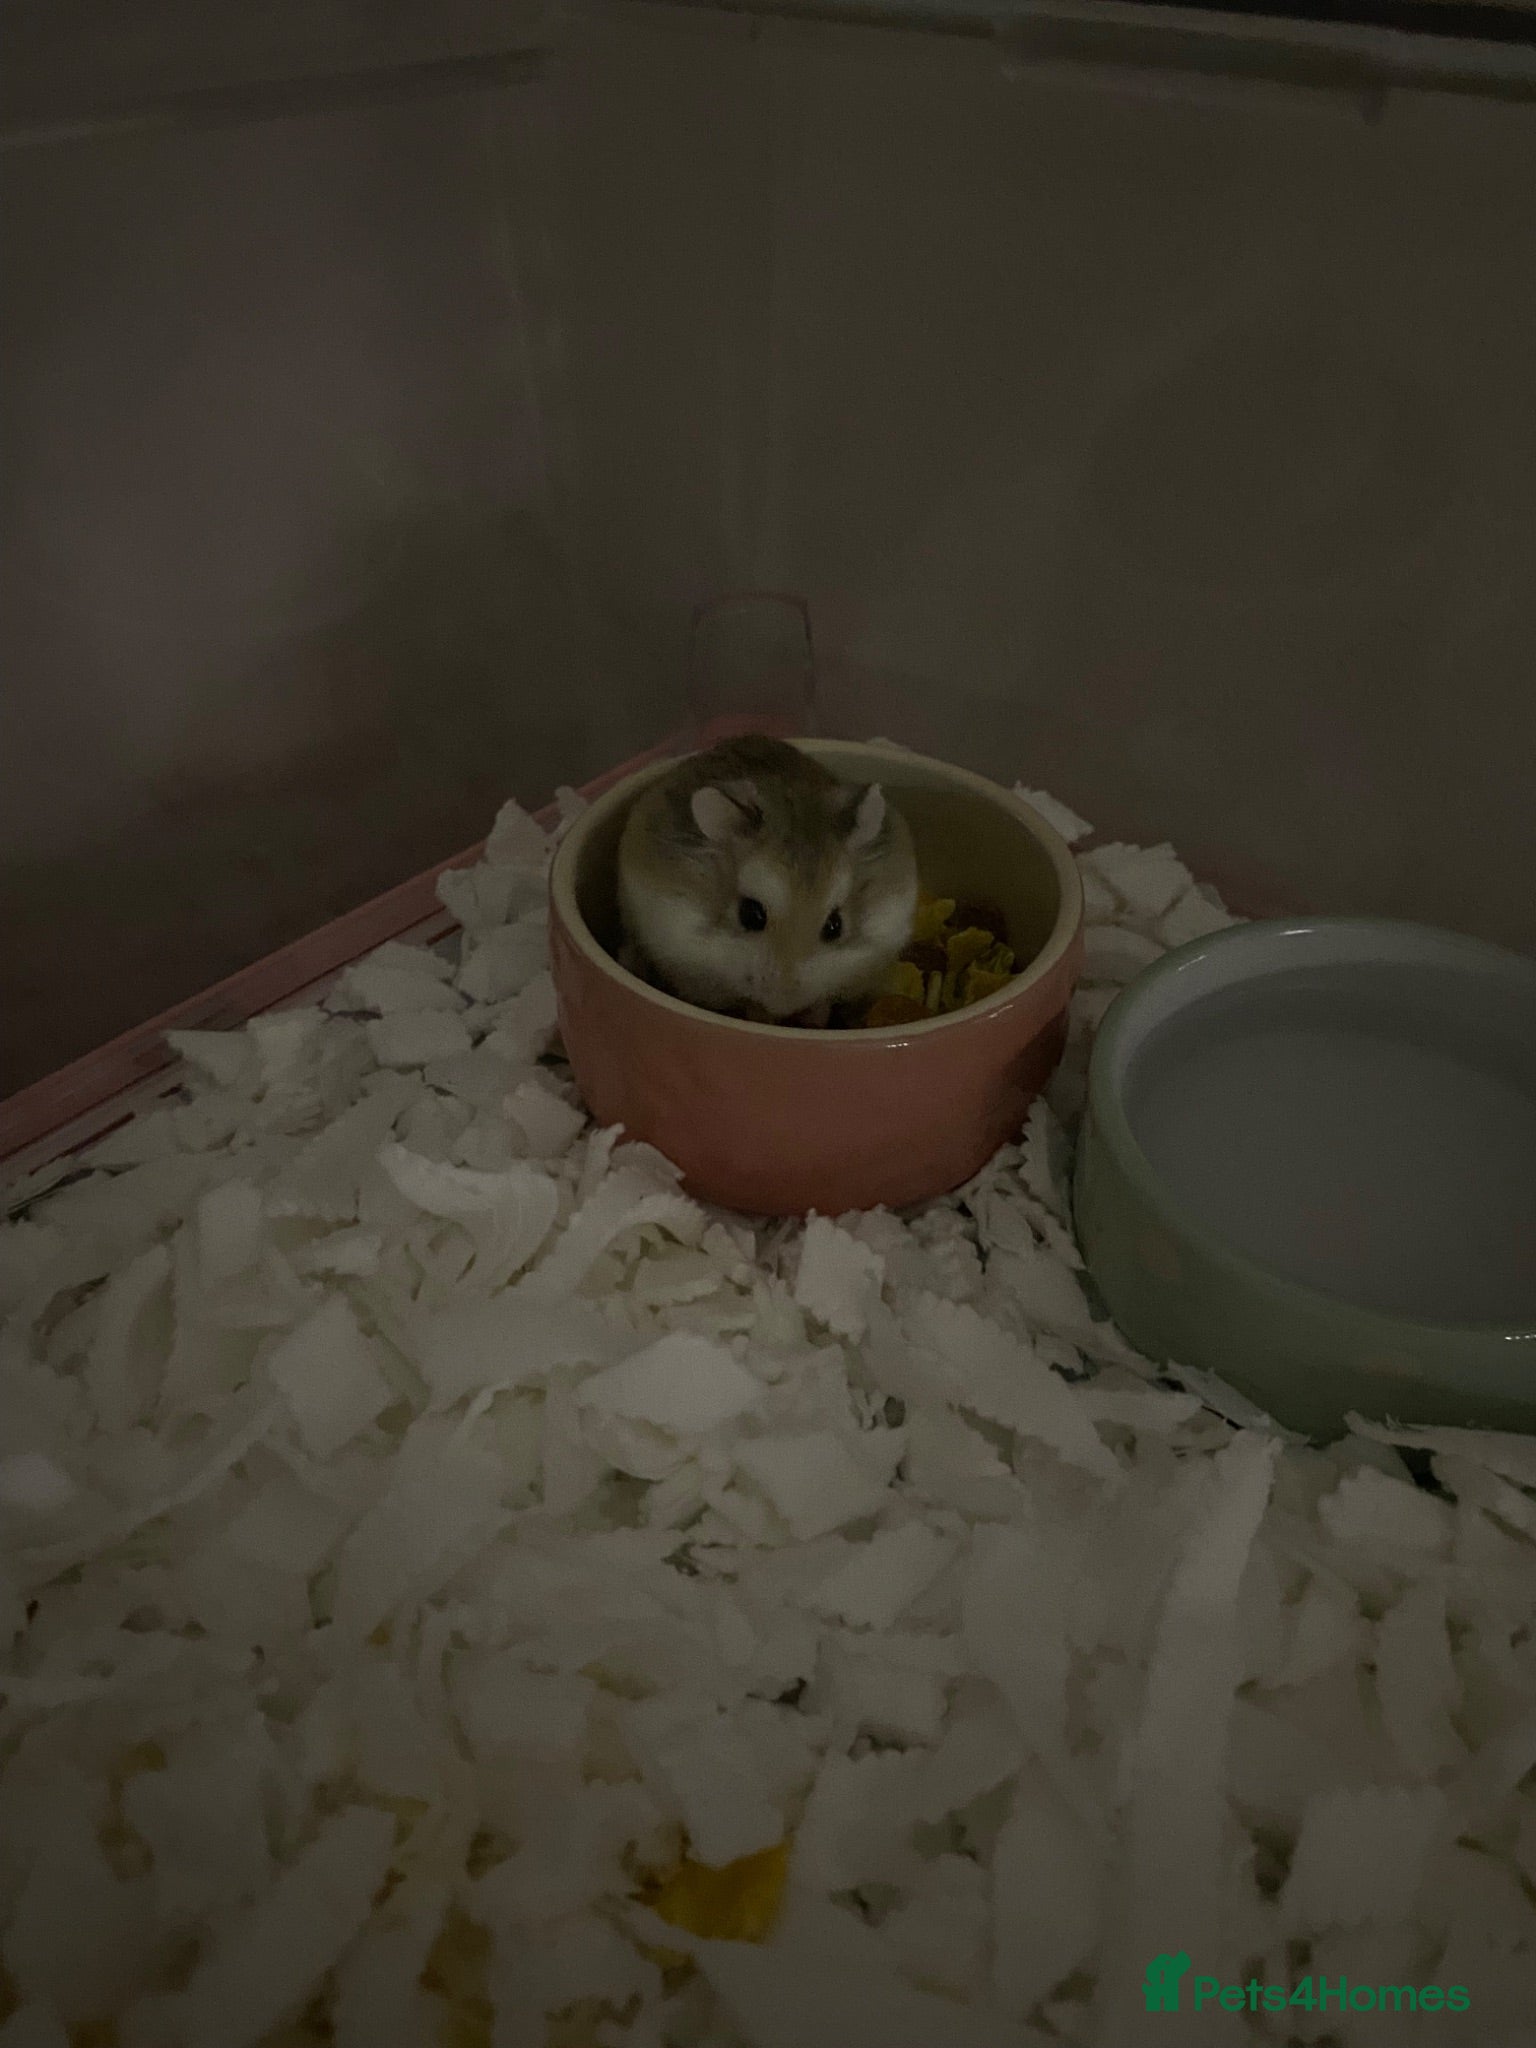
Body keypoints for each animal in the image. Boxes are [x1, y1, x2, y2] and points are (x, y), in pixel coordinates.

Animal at [616, 735, 919, 1026]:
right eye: (750, 915)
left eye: (835, 926)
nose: (784, 1003)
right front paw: (764, 1015)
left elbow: (823, 1000)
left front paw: (813, 1017)